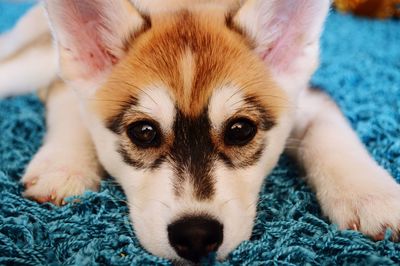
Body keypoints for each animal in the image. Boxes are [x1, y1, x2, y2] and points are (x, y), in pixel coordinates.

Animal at [0, 0, 400, 262]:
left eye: (240, 130)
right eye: (143, 132)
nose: (195, 237)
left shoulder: (309, 97)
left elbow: (331, 133)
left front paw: (370, 195)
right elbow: (70, 103)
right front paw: (65, 164)